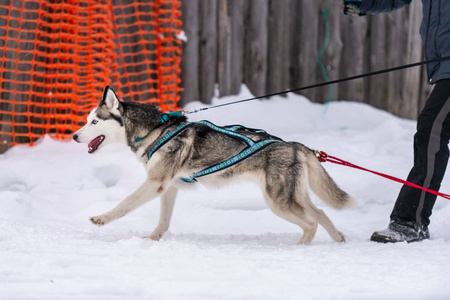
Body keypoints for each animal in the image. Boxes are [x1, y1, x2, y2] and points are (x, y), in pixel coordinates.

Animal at [73, 86, 356, 244]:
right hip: (293, 197)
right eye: (86, 120)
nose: (74, 136)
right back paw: (339, 239)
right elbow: (163, 221)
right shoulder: (168, 188)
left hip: (278, 202)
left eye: (94, 122)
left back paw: (300, 248)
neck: (155, 131)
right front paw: (152, 240)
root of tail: (296, 145)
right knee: (320, 213)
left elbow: (124, 204)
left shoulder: (155, 184)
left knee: (311, 223)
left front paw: (101, 218)